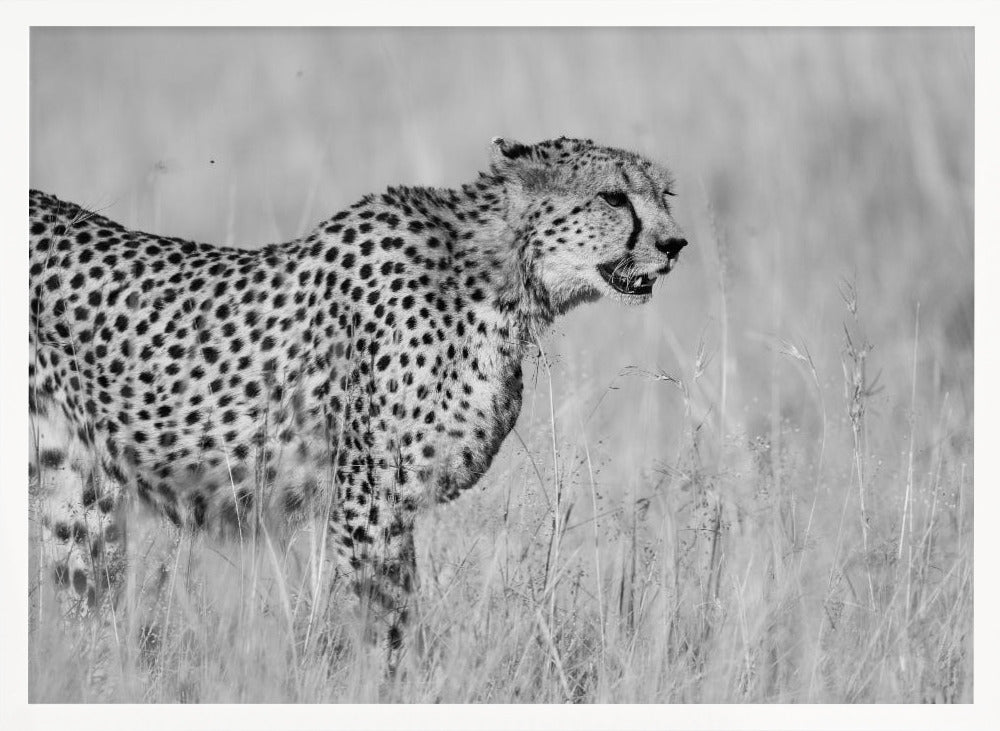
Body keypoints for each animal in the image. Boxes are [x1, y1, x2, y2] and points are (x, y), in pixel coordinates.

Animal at [28, 136, 688, 663]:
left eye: (664, 194)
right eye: (613, 198)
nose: (675, 244)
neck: (498, 278)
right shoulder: (368, 498)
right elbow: (387, 621)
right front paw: (396, 685)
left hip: (75, 490)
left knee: (82, 595)